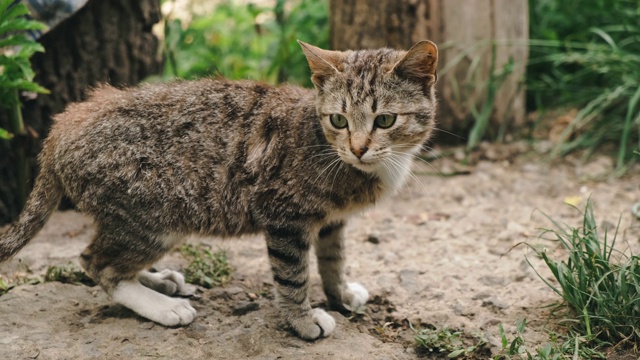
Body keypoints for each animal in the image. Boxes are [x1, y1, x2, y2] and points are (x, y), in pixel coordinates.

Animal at [0, 40, 438, 340]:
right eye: (339, 120)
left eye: (385, 120)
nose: (358, 147)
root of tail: (64, 123)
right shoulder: (285, 217)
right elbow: (293, 276)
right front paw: (303, 320)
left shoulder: (332, 221)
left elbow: (333, 260)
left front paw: (340, 294)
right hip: (152, 217)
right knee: (98, 263)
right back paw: (162, 306)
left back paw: (160, 281)